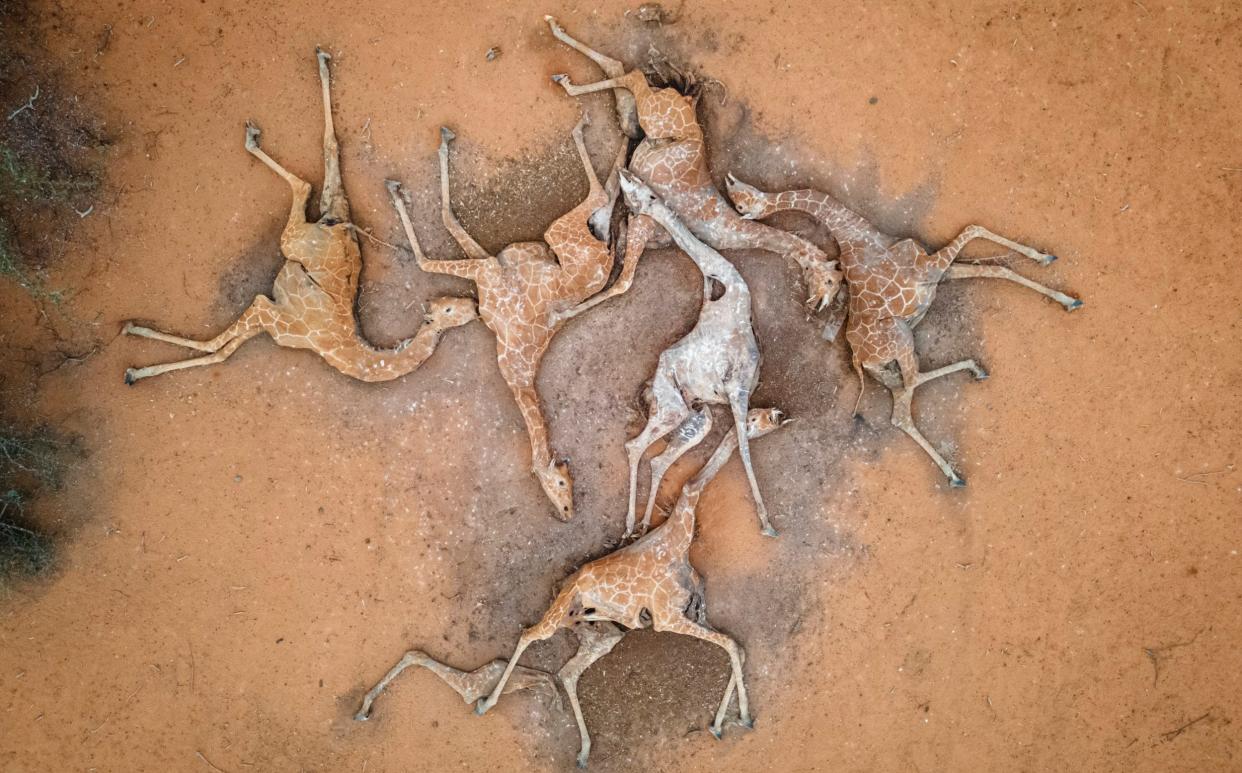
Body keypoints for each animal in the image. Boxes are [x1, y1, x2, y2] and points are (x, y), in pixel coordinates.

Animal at [123, 47, 476, 385]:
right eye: (449, 307)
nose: (474, 307)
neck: (346, 351)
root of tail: (337, 223)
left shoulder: (273, 320)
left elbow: (220, 353)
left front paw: (134, 364)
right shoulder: (267, 311)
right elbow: (214, 346)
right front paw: (133, 345)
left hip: (323, 215)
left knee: (327, 156)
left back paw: (319, 63)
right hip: (294, 240)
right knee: (306, 183)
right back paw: (254, 135)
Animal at [385, 119, 625, 521]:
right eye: (562, 482)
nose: (567, 513)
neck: (519, 376)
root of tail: (602, 258)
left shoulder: (487, 273)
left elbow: (442, 239)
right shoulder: (488, 272)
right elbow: (438, 243)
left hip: (560, 239)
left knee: (600, 198)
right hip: (559, 235)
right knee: (600, 196)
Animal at [725, 178, 1083, 487]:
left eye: (743, 201)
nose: (734, 195)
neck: (859, 235)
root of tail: (859, 359)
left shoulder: (935, 278)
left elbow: (997, 268)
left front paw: (1062, 288)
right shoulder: (929, 269)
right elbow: (973, 229)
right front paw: (1050, 267)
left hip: (887, 366)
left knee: (901, 406)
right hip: (901, 337)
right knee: (910, 389)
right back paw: (957, 456)